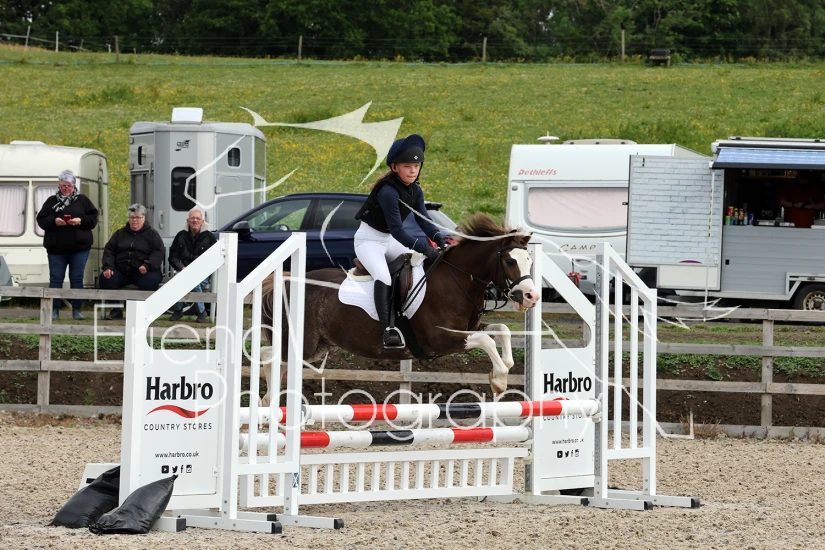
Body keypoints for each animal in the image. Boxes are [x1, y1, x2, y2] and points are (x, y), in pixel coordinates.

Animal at [257, 213, 540, 404]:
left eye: (529, 260)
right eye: (510, 261)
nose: (531, 296)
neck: (456, 279)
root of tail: (286, 282)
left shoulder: (469, 328)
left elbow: (501, 330)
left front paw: (503, 368)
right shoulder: (441, 339)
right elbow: (486, 340)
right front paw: (499, 380)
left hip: (318, 347)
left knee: (276, 359)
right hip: (302, 343)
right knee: (268, 355)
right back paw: (269, 401)